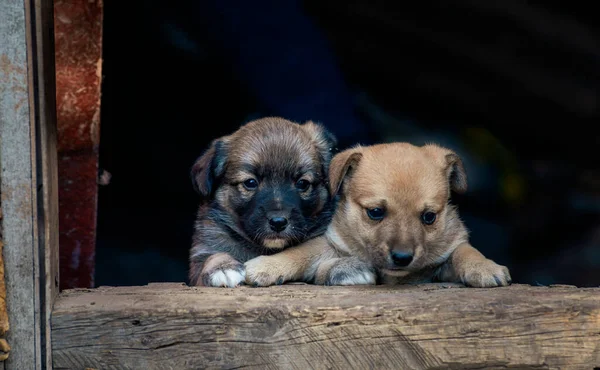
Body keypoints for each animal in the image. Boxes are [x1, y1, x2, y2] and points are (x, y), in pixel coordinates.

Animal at [189, 117, 338, 288]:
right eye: (250, 182)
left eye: (302, 183)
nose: (278, 222)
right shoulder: (202, 254)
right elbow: (211, 256)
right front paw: (222, 267)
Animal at [244, 143, 510, 288]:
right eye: (375, 212)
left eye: (429, 217)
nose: (402, 257)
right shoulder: (333, 244)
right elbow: (302, 251)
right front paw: (267, 265)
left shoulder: (447, 252)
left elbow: (465, 250)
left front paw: (485, 267)